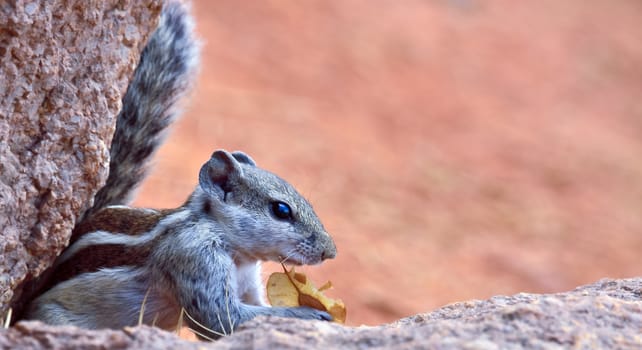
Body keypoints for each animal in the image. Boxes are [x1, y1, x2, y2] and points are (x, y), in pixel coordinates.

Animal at [21, 0, 336, 340]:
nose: (330, 252)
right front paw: (311, 315)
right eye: (281, 210)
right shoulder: (195, 259)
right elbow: (222, 319)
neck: (235, 252)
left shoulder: (247, 282)